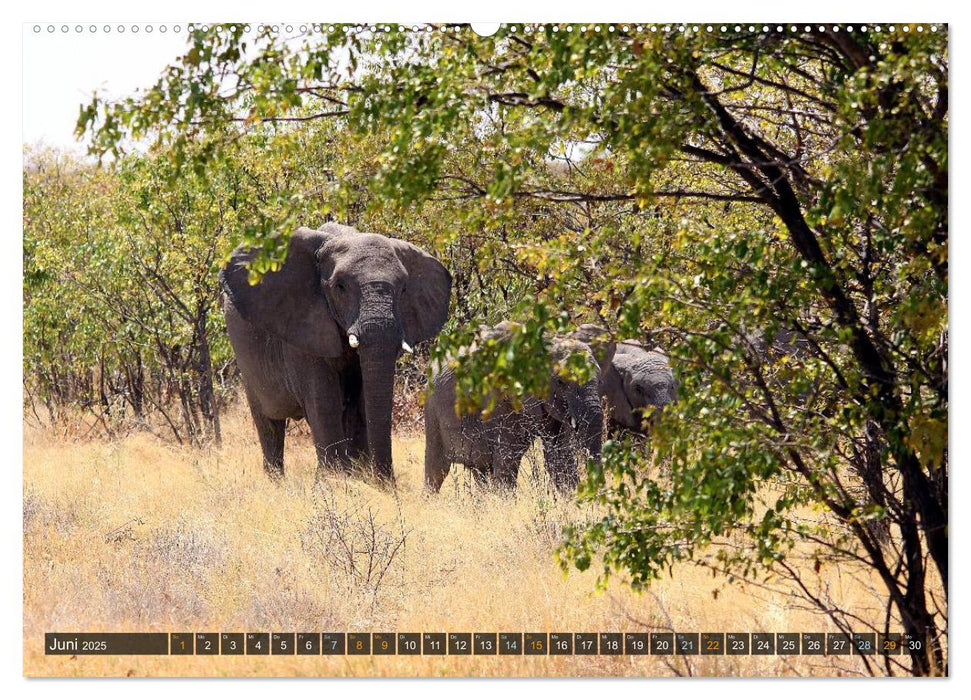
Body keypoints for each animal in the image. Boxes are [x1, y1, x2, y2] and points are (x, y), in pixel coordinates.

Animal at [220, 224, 452, 482]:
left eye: (403, 289)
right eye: (340, 287)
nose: (389, 483)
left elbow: (362, 402)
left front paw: (359, 479)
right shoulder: (302, 326)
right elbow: (324, 401)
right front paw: (334, 481)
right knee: (269, 423)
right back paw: (277, 483)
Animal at [422, 322, 612, 492]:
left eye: (600, 381)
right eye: (560, 382)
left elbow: (560, 455)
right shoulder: (496, 400)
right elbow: (507, 460)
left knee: (479, 468)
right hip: (432, 409)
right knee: (436, 469)